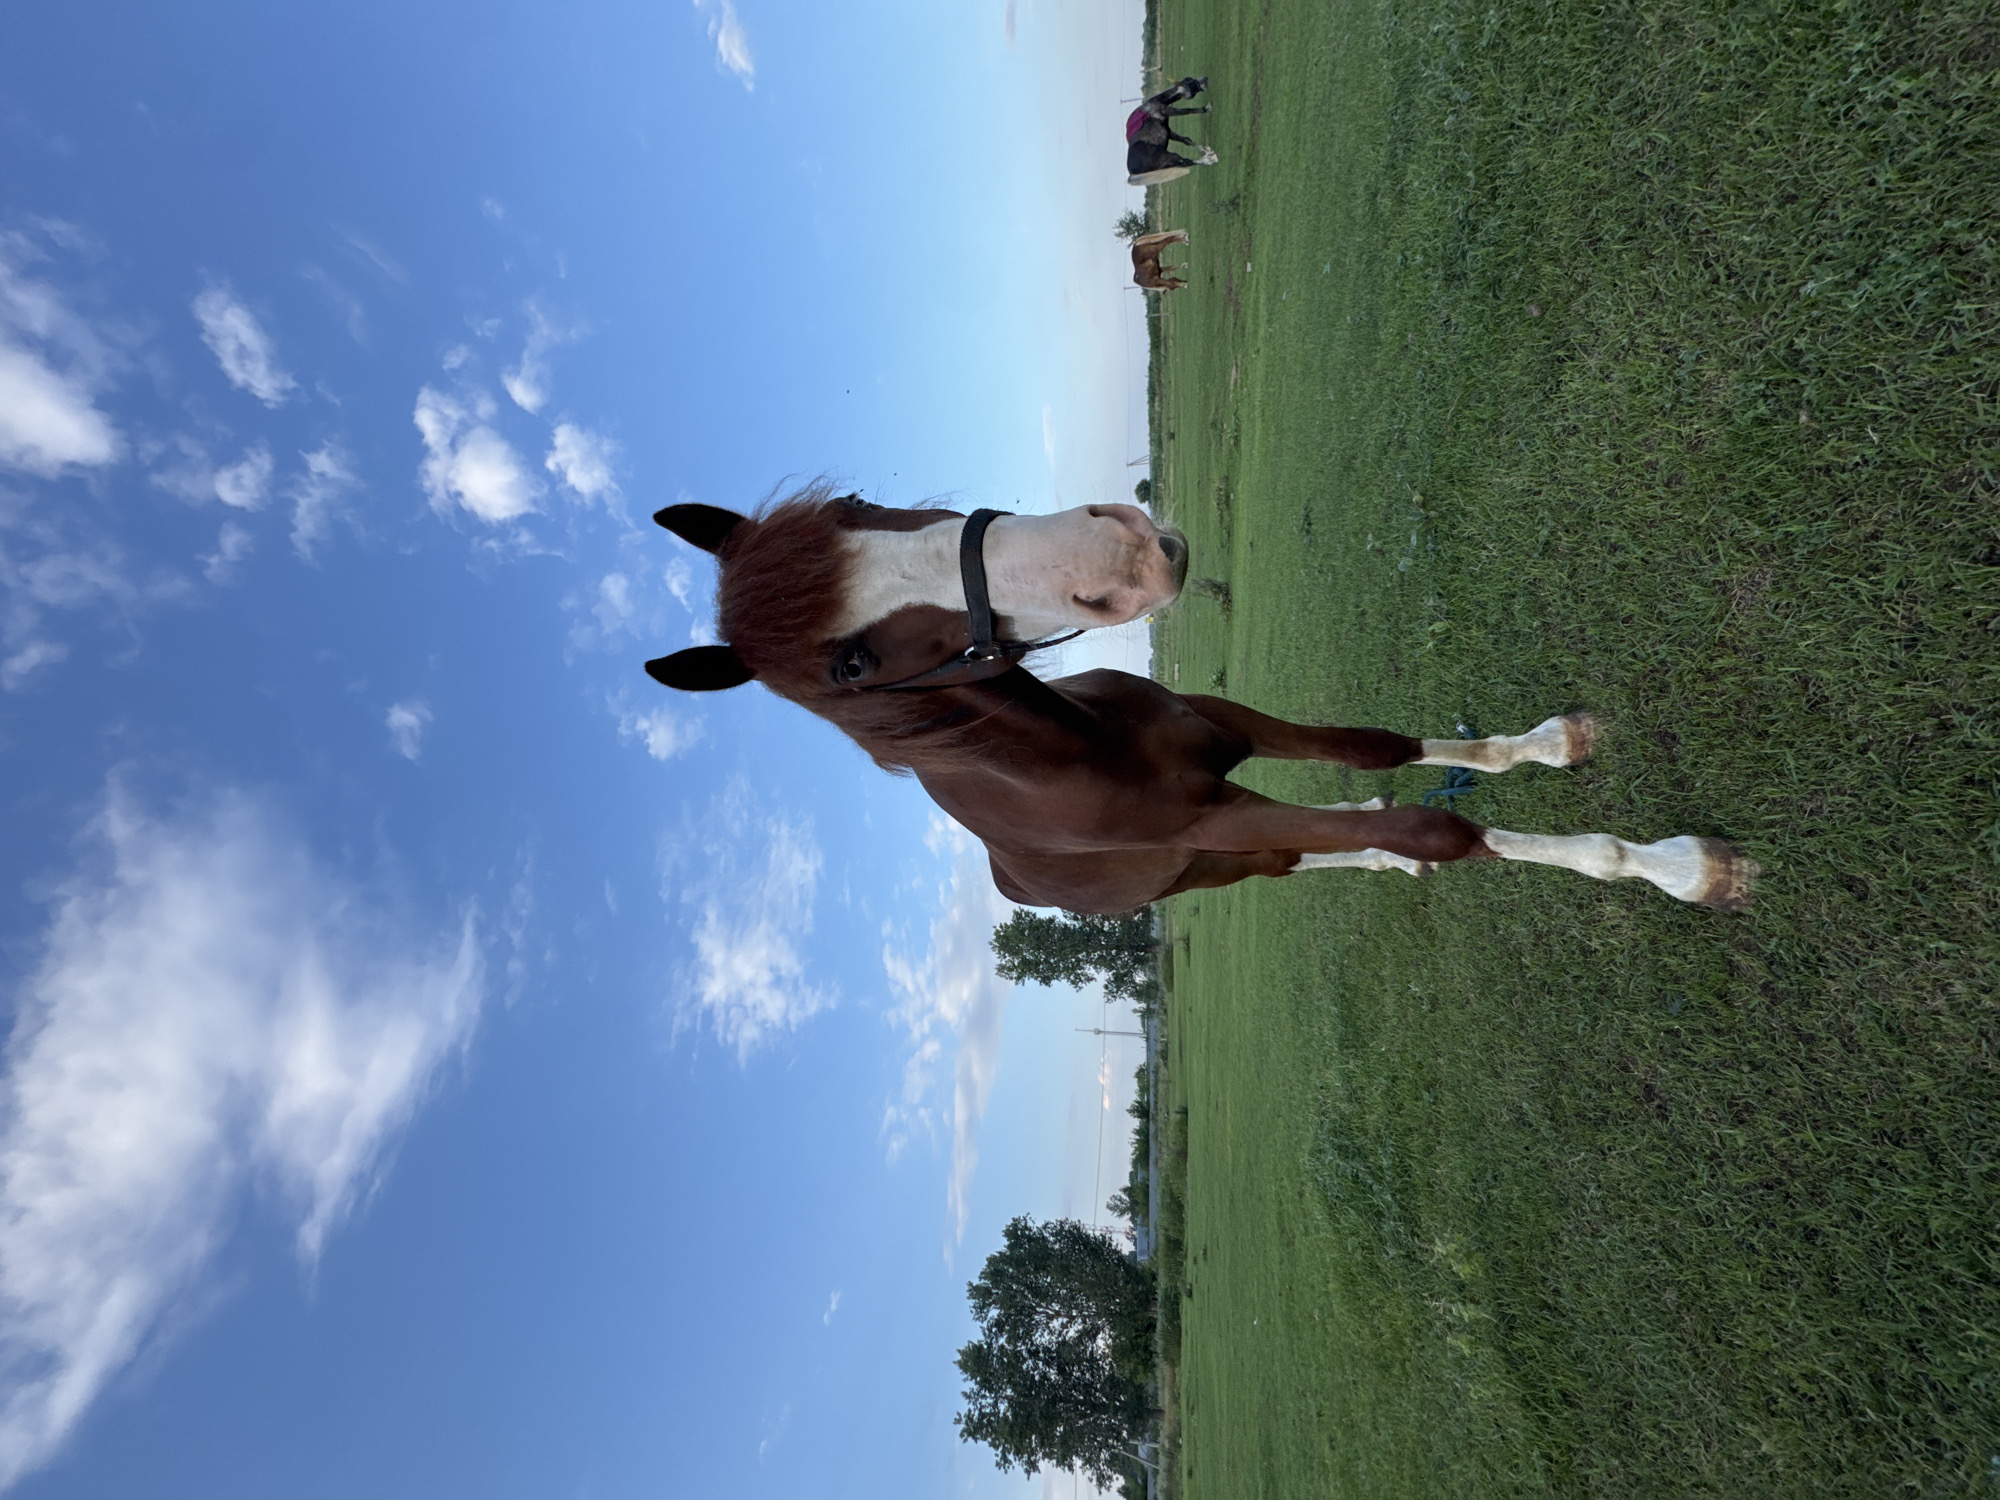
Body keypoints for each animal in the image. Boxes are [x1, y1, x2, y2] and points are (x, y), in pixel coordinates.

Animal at [644, 486, 1756, 915]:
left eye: (853, 507)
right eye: (849, 666)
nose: (1126, 553)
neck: (1076, 755)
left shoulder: (1227, 727)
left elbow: (1375, 750)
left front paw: (1545, 745)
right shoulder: (1217, 814)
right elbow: (1429, 831)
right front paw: (1674, 867)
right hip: (1210, 867)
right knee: (1318, 854)